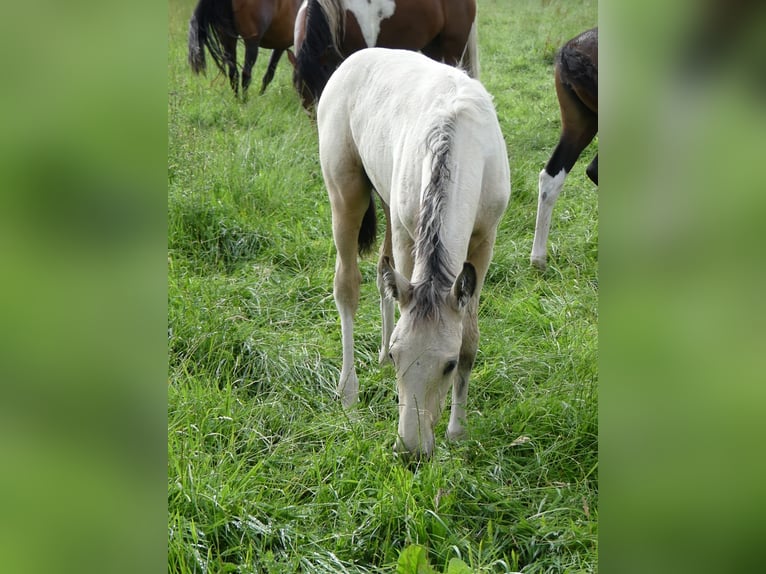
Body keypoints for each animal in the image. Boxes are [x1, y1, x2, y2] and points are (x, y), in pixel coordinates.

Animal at [316, 49, 512, 464]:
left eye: (449, 365)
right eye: (400, 358)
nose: (410, 451)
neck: (461, 140)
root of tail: (354, 58)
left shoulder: (485, 239)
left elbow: (469, 336)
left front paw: (457, 431)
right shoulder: (409, 236)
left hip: (387, 199)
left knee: (382, 273)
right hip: (346, 193)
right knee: (348, 285)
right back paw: (349, 390)